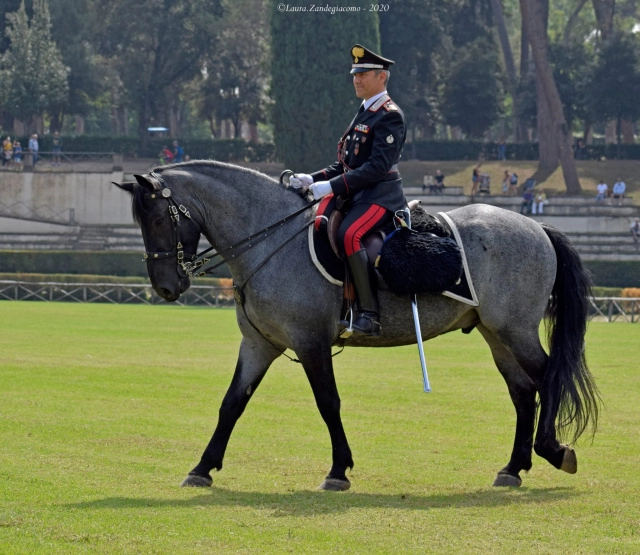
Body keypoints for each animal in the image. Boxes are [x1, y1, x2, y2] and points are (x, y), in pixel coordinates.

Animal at [115, 161, 600, 490]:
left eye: (157, 219)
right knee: (523, 391)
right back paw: (513, 467)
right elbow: (231, 404)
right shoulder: (259, 344)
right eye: (140, 222)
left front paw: (338, 470)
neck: (271, 239)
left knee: (548, 377)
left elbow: (328, 403)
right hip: (496, 334)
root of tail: (535, 225)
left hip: (515, 331)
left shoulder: (309, 342)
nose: (165, 286)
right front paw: (202, 468)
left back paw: (553, 449)